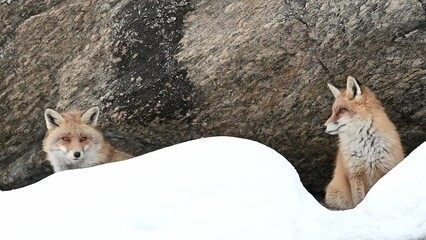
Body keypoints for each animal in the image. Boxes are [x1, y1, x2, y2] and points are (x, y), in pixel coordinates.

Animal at [324, 77, 404, 210]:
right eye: (333, 111)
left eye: (342, 110)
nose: (324, 127)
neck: (366, 147)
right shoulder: (355, 173)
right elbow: (359, 201)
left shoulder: (386, 168)